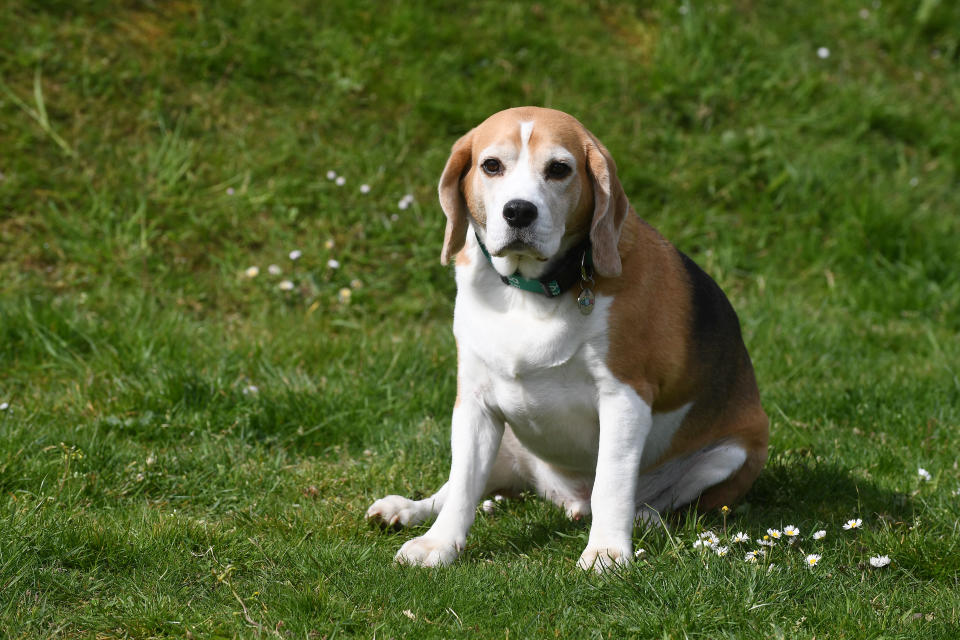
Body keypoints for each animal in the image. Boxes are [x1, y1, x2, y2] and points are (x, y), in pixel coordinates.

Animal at [364, 107, 768, 572]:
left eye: (559, 169)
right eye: (491, 166)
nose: (519, 211)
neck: (530, 290)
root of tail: (564, 499)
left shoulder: (624, 398)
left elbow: (611, 482)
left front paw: (607, 551)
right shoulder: (475, 402)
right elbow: (463, 484)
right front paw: (439, 544)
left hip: (736, 451)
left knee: (671, 501)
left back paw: (645, 518)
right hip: (506, 441)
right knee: (454, 488)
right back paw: (407, 509)